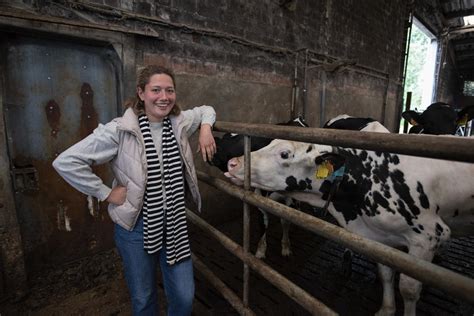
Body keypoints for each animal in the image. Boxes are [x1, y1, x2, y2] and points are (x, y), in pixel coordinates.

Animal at [225, 130, 474, 314]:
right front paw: (386, 309)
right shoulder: (381, 239)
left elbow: (409, 288)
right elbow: (386, 273)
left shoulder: (429, 236)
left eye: (284, 153)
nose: (233, 163)